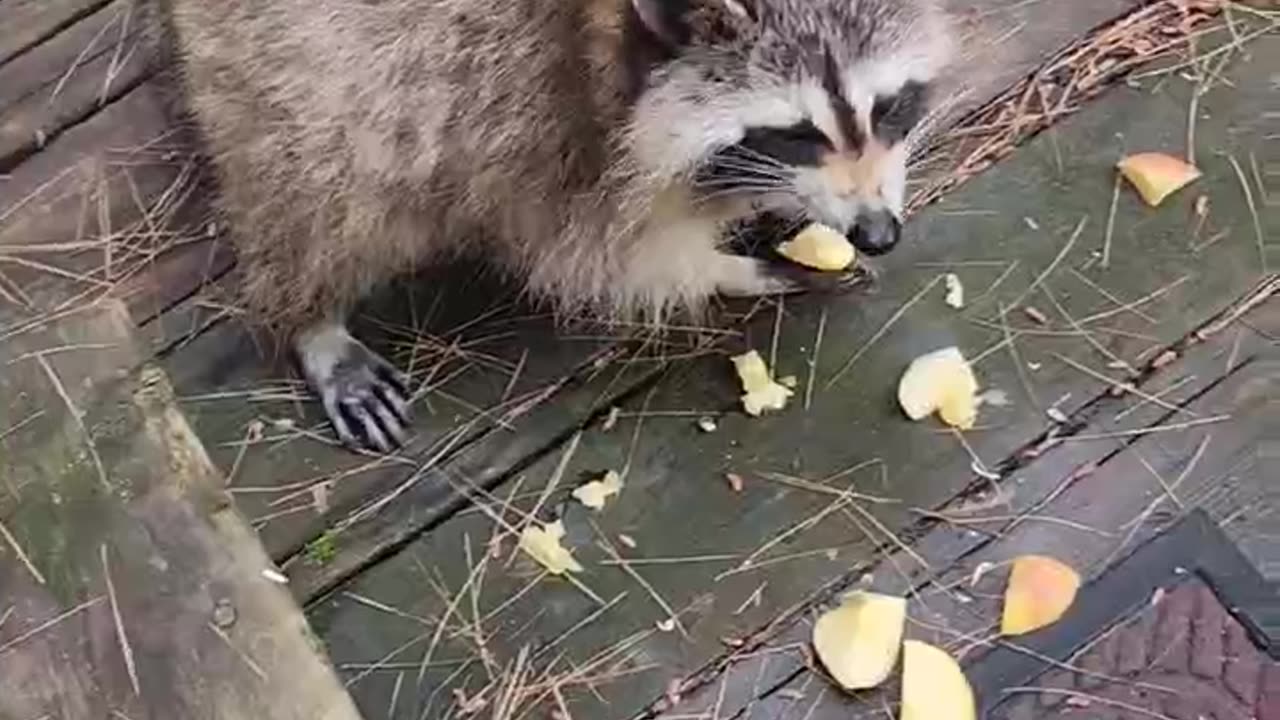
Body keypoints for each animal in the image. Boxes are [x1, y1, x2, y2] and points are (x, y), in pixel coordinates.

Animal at [160, 0, 957, 448]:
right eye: (797, 133)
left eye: (889, 106)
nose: (880, 231)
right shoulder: (527, 100)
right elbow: (583, 254)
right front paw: (729, 268)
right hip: (293, 61)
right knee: (322, 181)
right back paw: (308, 313)